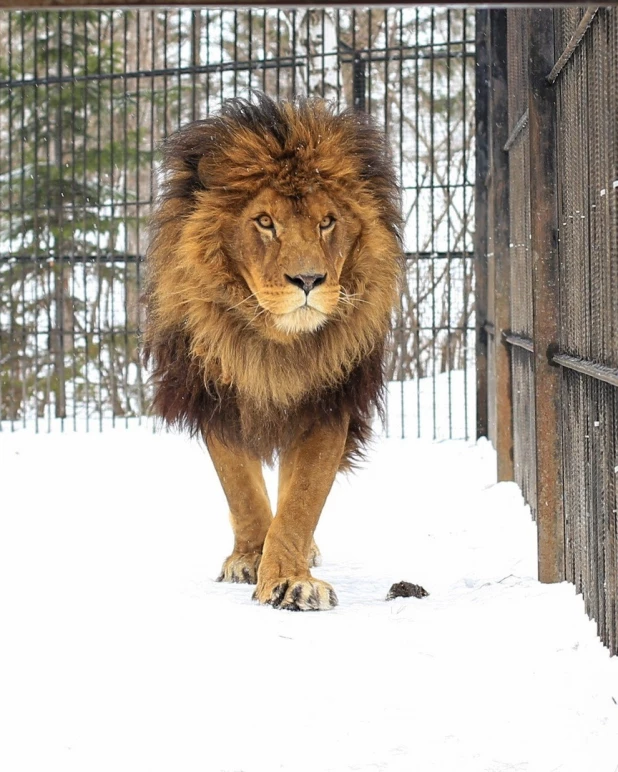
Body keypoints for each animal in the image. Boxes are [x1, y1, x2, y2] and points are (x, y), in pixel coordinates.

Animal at [143, 95, 404, 608]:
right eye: (265, 222)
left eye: (327, 222)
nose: (308, 279)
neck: (274, 346)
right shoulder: (215, 398)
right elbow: (241, 489)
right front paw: (249, 557)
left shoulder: (328, 403)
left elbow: (301, 497)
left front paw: (289, 577)